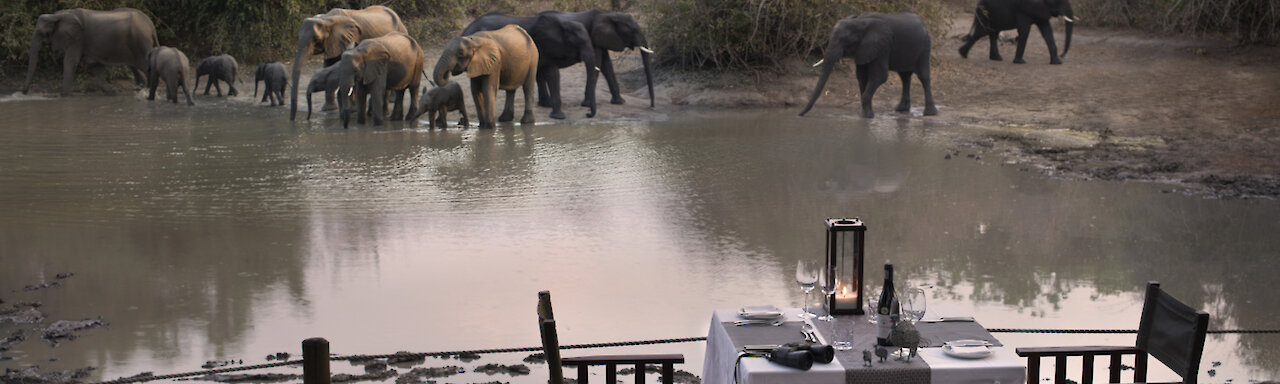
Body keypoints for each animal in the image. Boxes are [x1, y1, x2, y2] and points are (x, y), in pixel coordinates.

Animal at [23, 8, 157, 96]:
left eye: (42, 33)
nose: (23, 92)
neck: (57, 15)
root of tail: (151, 25)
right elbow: (96, 67)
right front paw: (111, 93)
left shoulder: (77, 38)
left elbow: (70, 62)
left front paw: (63, 96)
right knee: (135, 68)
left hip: (141, 42)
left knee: (145, 67)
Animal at [460, 11, 599, 119]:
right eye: (580, 42)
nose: (587, 114)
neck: (563, 24)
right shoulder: (546, 47)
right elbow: (552, 75)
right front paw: (558, 116)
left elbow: (540, 74)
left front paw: (546, 105)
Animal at [798, 12, 942, 118]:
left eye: (845, 40)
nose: (799, 115)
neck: (860, 22)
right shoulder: (863, 49)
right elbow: (861, 76)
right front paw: (864, 115)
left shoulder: (883, 46)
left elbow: (880, 76)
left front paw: (866, 116)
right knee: (904, 77)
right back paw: (901, 109)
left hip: (925, 46)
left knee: (923, 76)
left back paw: (929, 113)